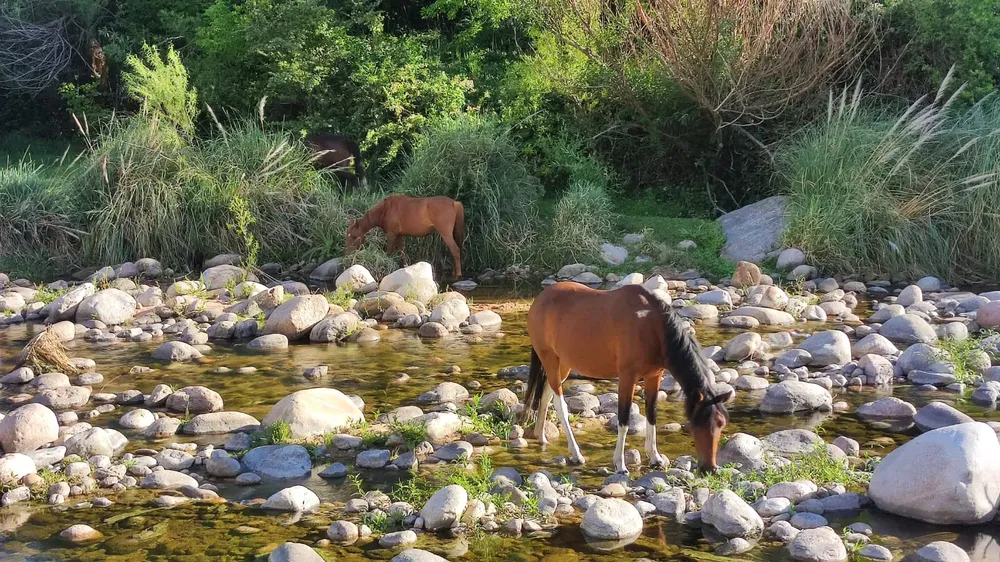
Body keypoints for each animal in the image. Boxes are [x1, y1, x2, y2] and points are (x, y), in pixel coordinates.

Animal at [521, 282, 732, 474]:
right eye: (698, 423)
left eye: (721, 424)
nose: (710, 468)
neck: (651, 326)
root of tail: (541, 298)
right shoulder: (627, 377)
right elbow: (623, 418)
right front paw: (620, 465)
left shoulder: (654, 376)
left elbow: (652, 414)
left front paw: (655, 458)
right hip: (549, 358)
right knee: (559, 404)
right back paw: (576, 454)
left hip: (563, 363)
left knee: (546, 394)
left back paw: (541, 436)